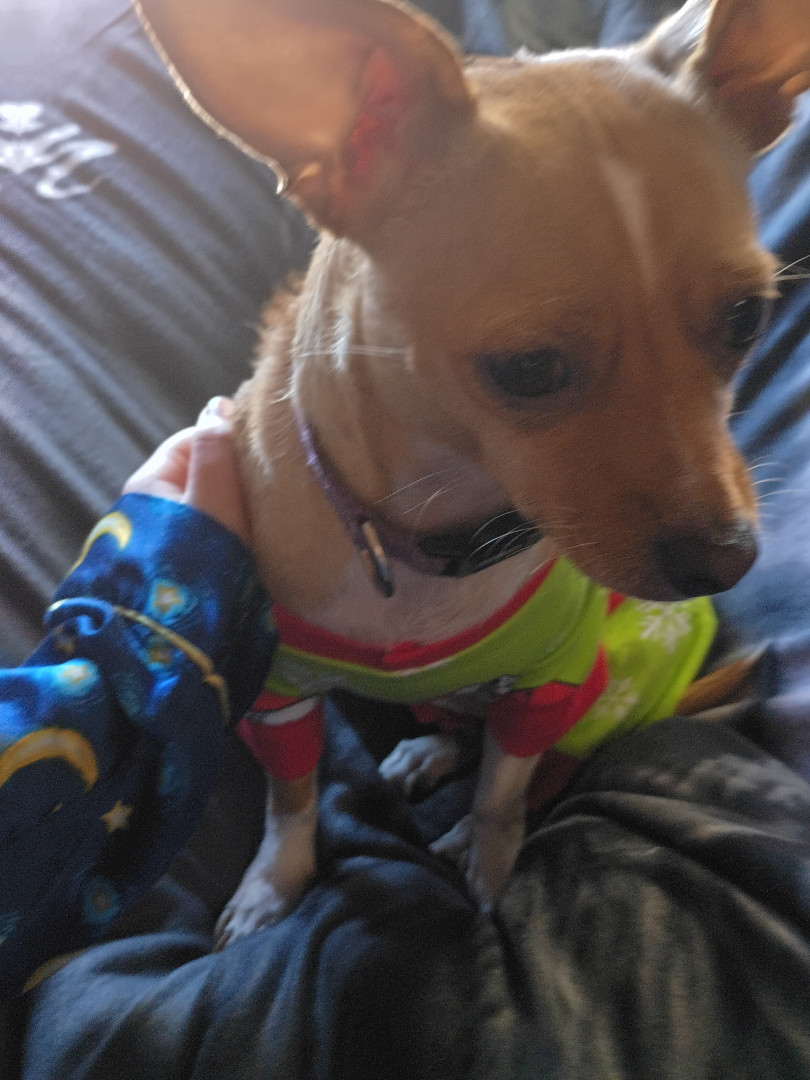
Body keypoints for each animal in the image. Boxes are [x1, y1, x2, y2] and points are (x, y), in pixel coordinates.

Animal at [135, 0, 810, 946]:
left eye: (747, 318)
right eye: (526, 369)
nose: (729, 559)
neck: (431, 530)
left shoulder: (551, 684)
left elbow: (502, 789)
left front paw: (489, 862)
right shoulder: (279, 694)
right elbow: (292, 797)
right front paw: (275, 880)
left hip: (606, 690)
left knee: (544, 764)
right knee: (454, 727)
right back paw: (428, 745)